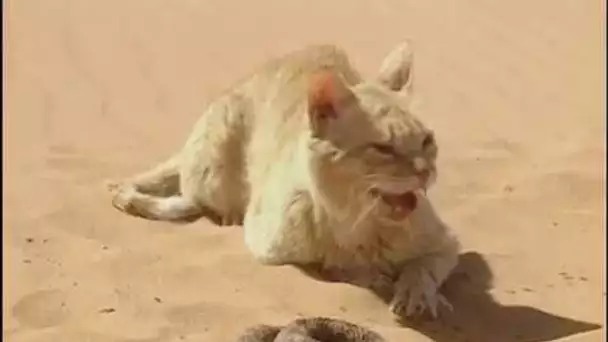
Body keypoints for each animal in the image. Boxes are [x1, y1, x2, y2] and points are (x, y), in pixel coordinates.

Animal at [110, 42, 460, 318]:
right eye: (383, 148)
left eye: (427, 141)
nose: (425, 171)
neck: (356, 224)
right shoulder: (267, 246)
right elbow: (338, 269)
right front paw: (372, 275)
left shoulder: (447, 242)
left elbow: (423, 268)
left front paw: (416, 293)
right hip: (214, 175)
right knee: (189, 198)